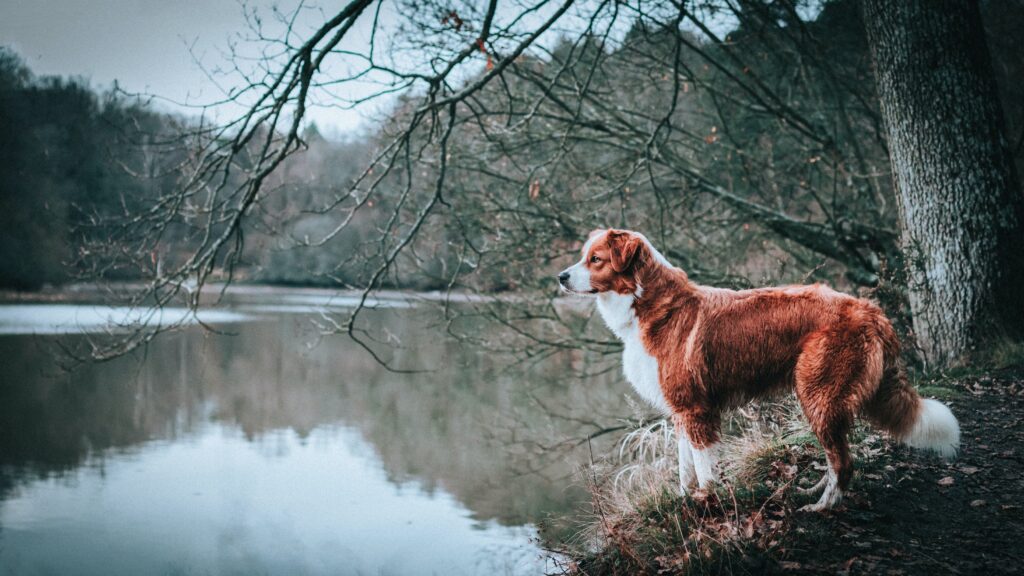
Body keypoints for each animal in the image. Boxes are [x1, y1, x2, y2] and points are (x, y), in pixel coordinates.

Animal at [561, 227, 958, 506]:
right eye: (584, 258)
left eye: (595, 259)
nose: (561, 277)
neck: (648, 303)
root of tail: (870, 310)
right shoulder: (679, 411)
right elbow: (684, 465)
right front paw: (685, 499)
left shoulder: (695, 410)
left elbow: (703, 467)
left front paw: (707, 504)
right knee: (837, 457)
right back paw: (814, 490)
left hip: (817, 395)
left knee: (843, 462)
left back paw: (822, 507)